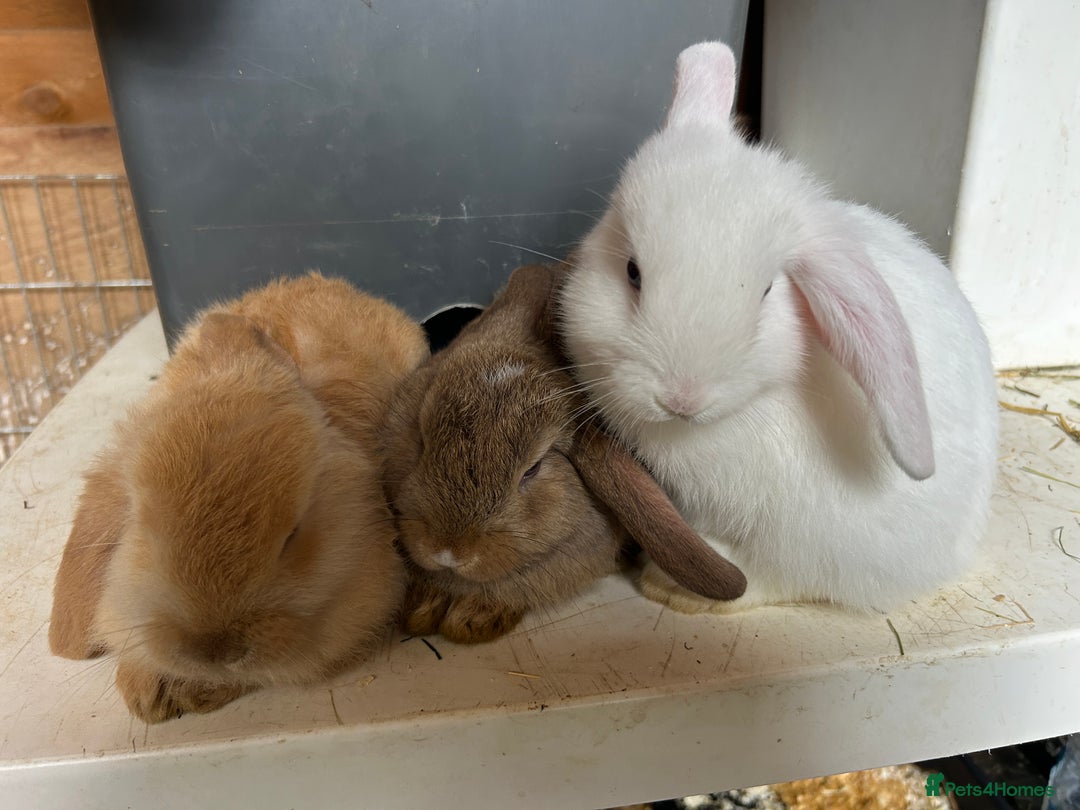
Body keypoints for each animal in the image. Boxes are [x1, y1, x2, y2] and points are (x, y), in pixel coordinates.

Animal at [557, 42, 999, 614]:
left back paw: (675, 590)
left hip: (819, 541)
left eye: (768, 291)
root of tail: (957, 555)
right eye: (632, 272)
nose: (681, 399)